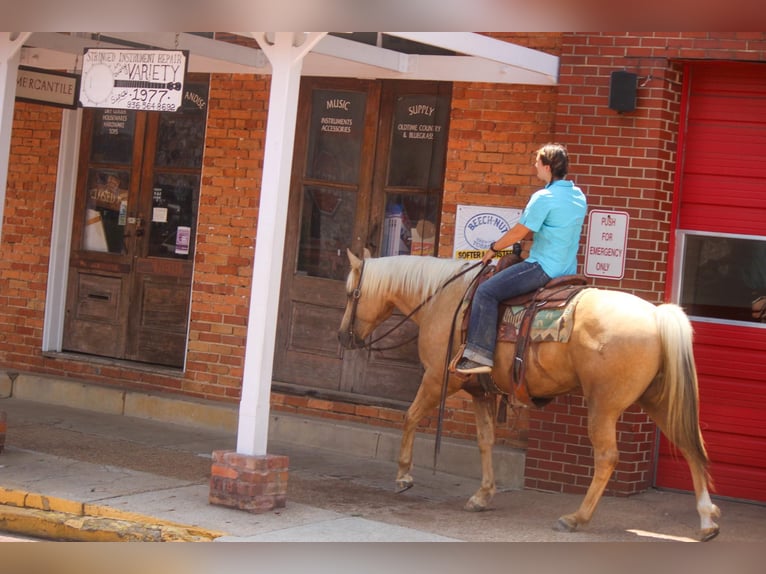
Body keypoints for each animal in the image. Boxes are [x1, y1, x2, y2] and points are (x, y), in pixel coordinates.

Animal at [340, 250, 724, 544]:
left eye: (350, 292)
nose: (344, 336)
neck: (446, 300)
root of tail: (656, 314)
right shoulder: (480, 392)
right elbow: (485, 440)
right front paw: (483, 494)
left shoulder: (438, 379)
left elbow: (410, 416)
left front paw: (404, 476)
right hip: (658, 400)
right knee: (691, 447)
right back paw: (707, 521)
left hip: (603, 406)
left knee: (607, 458)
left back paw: (576, 518)